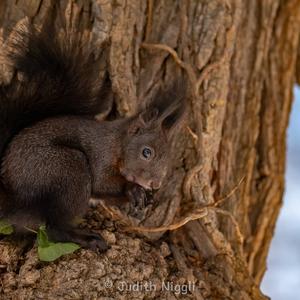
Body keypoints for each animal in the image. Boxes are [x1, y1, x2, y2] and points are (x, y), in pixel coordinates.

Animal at [0, 23, 186, 251]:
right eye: (146, 152)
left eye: (168, 158)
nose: (155, 184)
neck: (118, 143)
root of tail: (15, 198)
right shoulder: (100, 153)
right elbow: (101, 183)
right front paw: (133, 189)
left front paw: (144, 196)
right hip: (67, 168)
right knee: (54, 229)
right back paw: (87, 238)